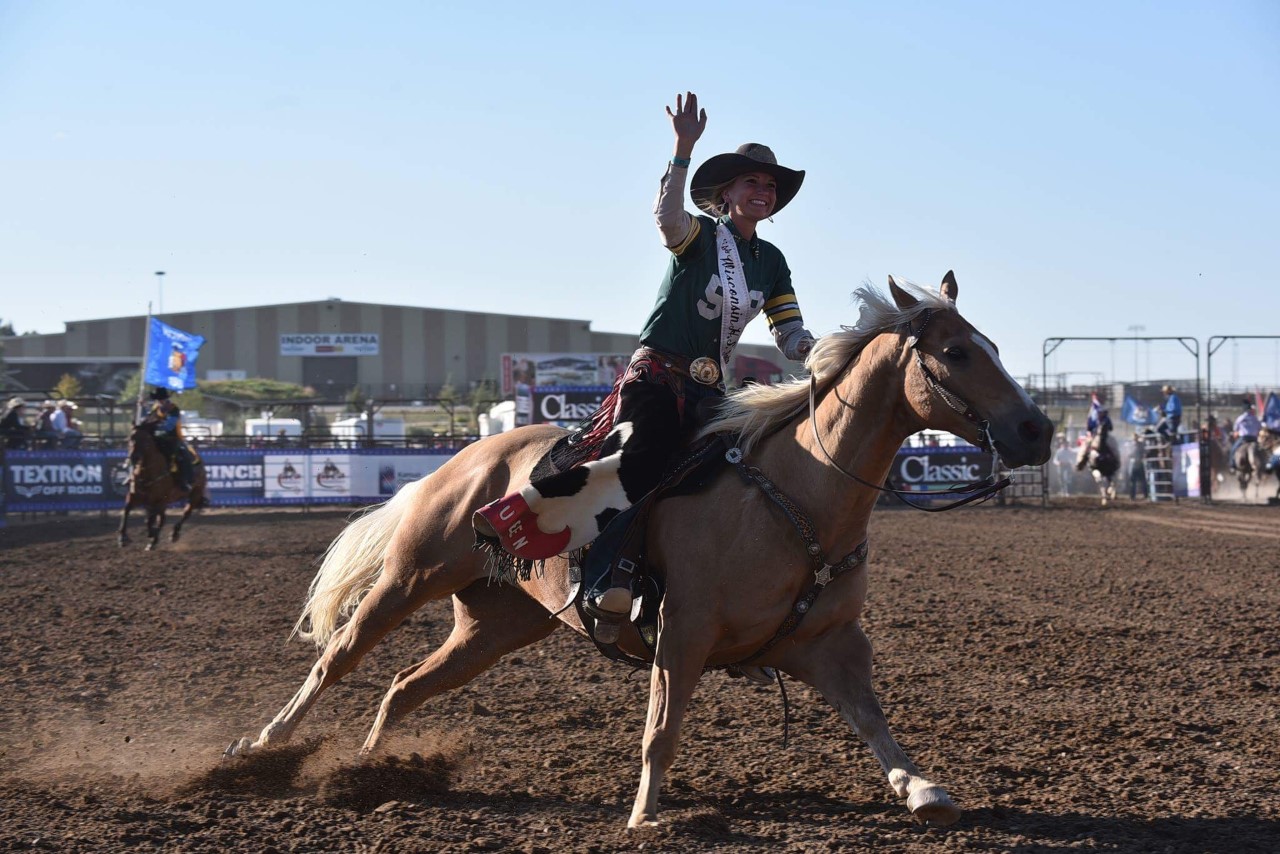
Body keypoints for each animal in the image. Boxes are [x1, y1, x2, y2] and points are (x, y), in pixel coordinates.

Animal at [119, 422, 208, 555]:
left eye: (146, 440)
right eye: (130, 438)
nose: (134, 457)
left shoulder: (159, 500)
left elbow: (149, 520)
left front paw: (151, 534)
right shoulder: (134, 496)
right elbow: (126, 510)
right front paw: (123, 538)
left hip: (194, 495)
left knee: (185, 513)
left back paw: (172, 535)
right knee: (162, 519)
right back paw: (153, 541)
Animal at [225, 277, 1054, 829]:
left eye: (993, 345)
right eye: (956, 351)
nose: (1036, 430)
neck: (797, 492)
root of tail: (463, 459)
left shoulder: (831, 643)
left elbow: (874, 719)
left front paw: (922, 788)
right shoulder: (681, 634)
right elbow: (662, 728)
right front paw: (645, 814)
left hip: (495, 625)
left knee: (405, 686)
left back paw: (369, 771)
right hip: (411, 577)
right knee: (338, 659)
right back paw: (262, 747)